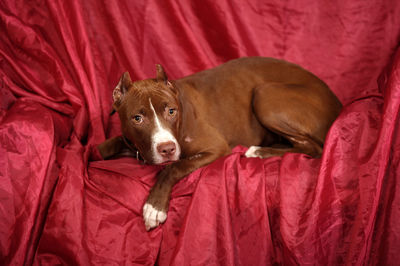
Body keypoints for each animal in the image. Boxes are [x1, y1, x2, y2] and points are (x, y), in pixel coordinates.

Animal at [98, 56, 342, 231]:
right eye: (137, 118)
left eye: (171, 111)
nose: (167, 149)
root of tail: (337, 104)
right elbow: (114, 143)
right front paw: (101, 149)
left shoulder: (214, 148)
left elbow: (174, 167)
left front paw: (154, 207)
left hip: (264, 93)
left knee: (313, 147)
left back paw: (259, 152)